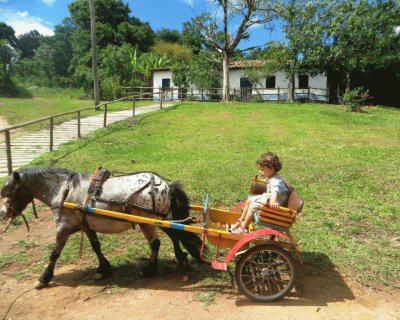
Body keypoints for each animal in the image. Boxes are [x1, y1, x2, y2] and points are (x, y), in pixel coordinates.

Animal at [0, 166, 200, 288]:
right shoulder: (86, 226)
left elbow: (54, 254)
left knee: (156, 243)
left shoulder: (63, 228)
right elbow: (96, 246)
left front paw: (44, 278)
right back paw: (181, 258)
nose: (3, 214)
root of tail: (166, 184)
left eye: (10, 191)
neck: (63, 190)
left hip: (148, 221)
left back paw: (150, 270)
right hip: (157, 220)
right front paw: (103, 269)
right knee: (174, 234)